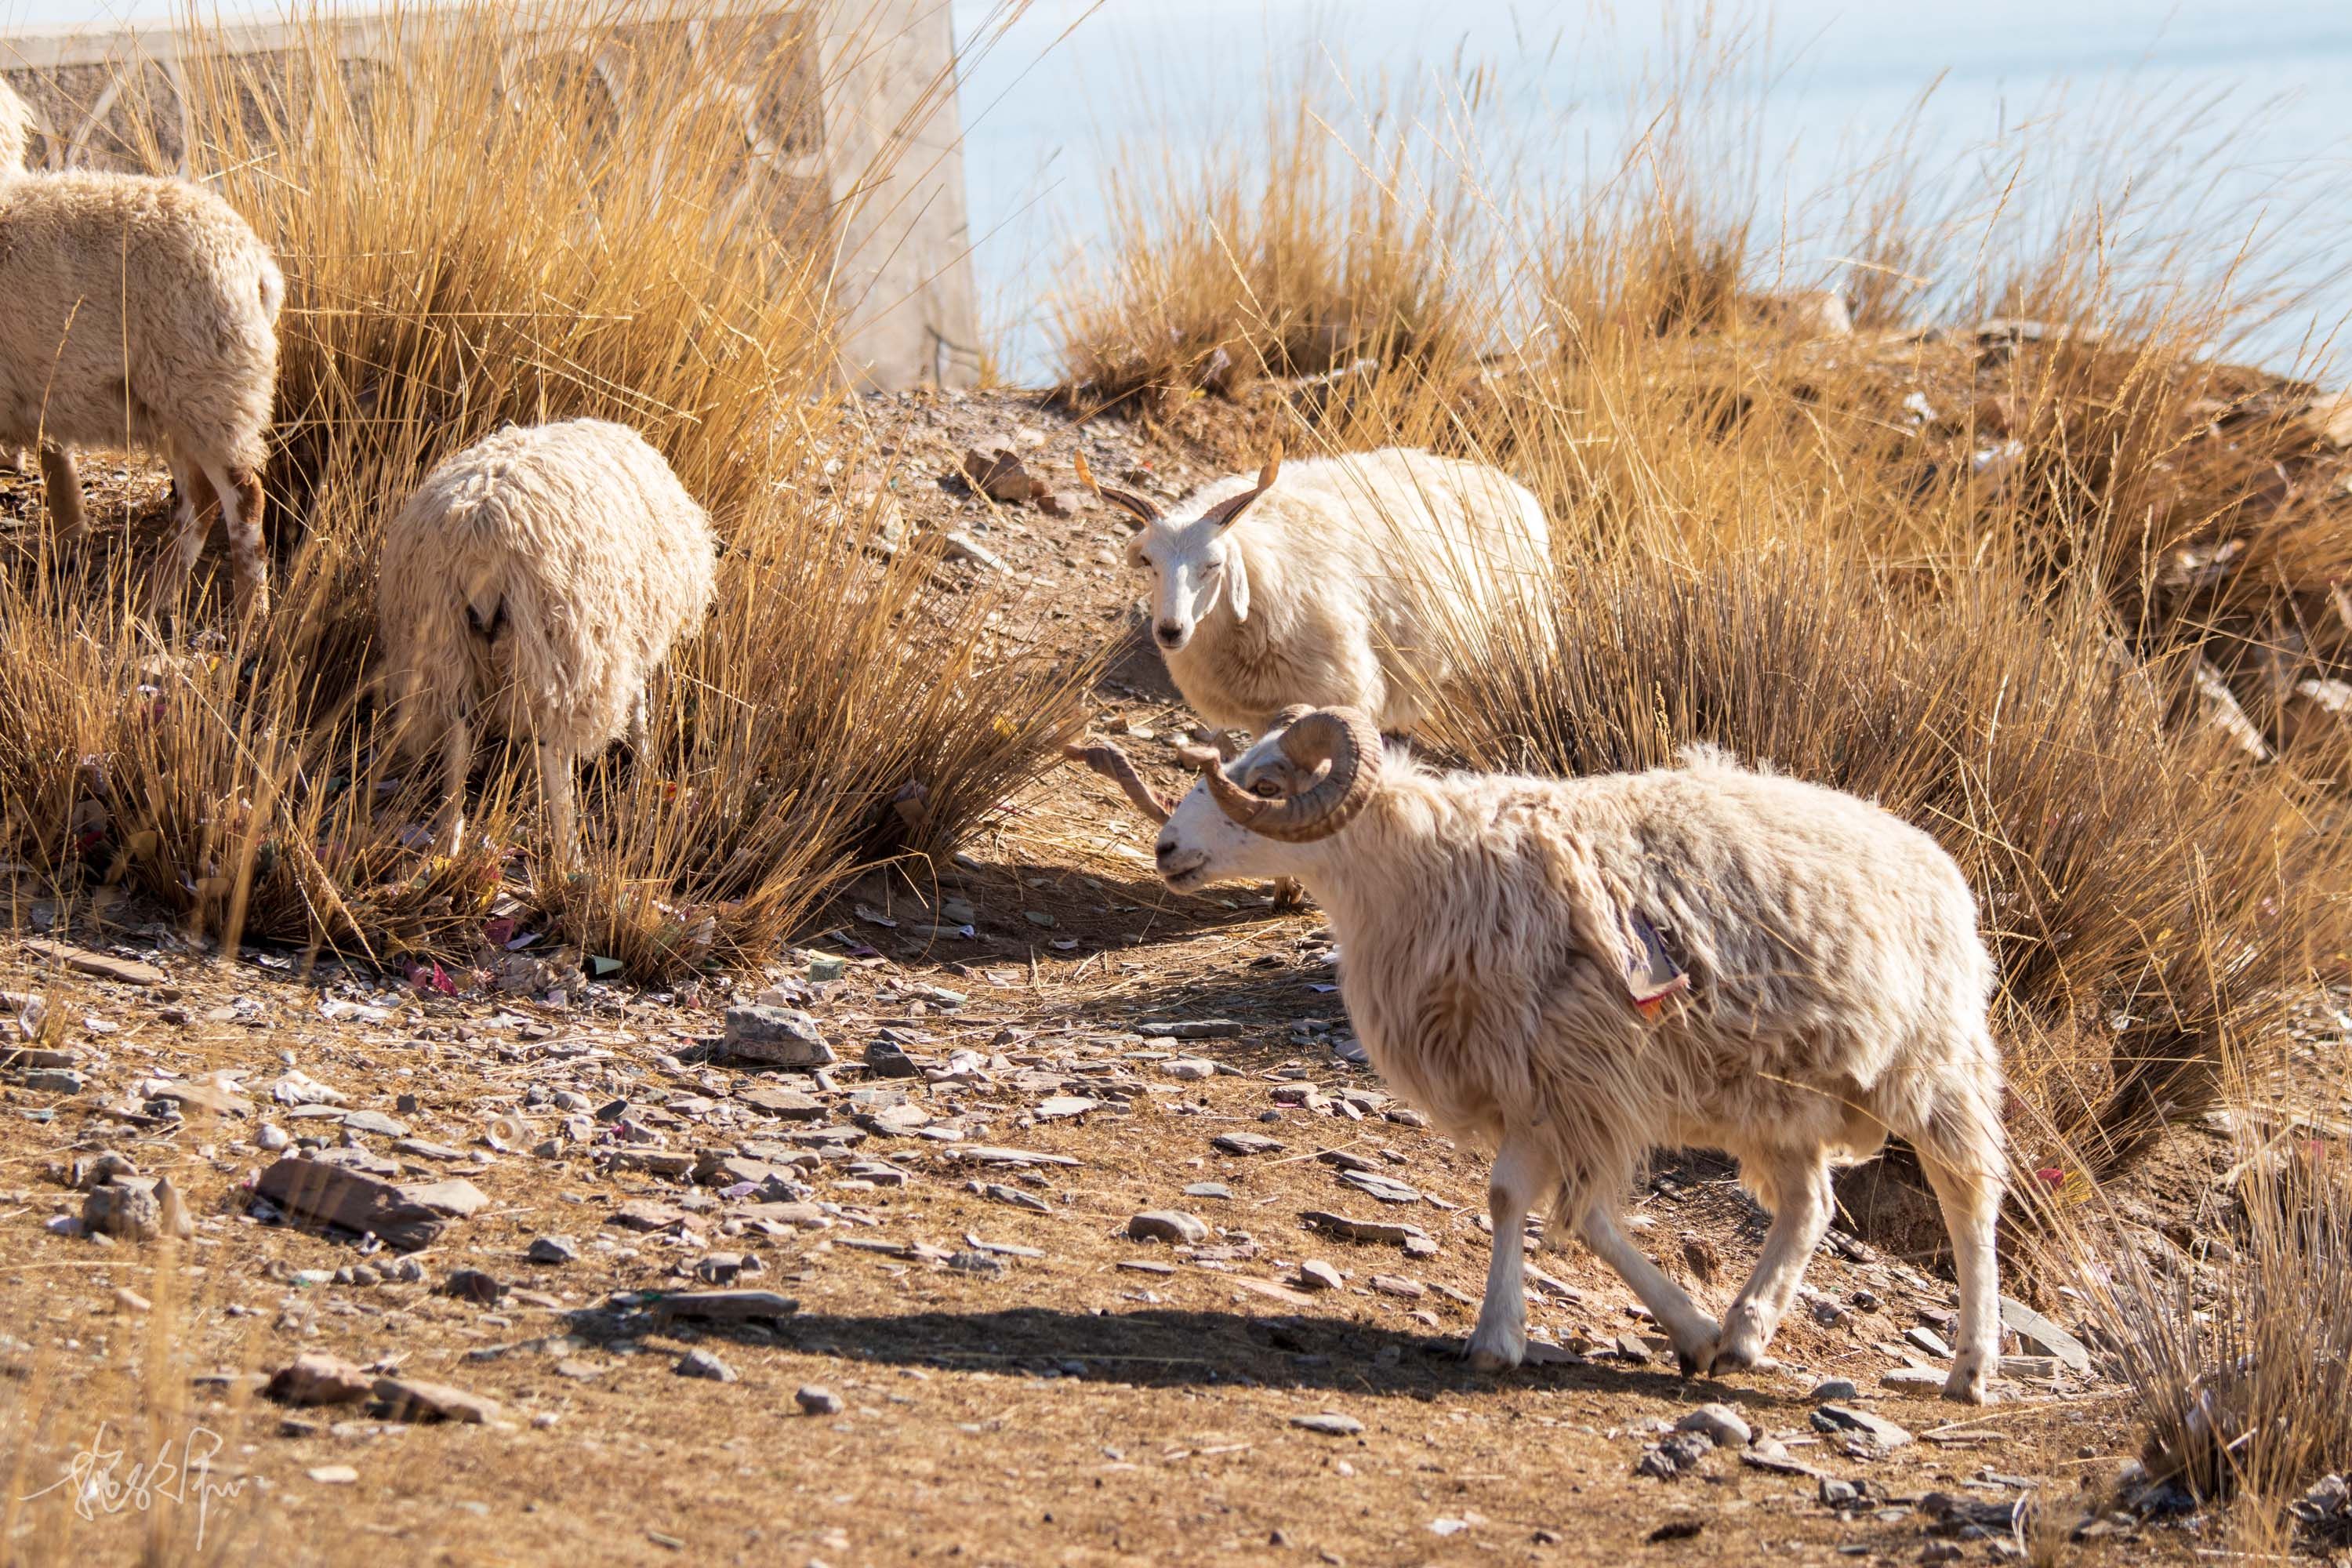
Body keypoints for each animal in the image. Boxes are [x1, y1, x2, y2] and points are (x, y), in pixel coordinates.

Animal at [0, 159, 285, 620]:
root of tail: (257, 265)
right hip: (174, 404)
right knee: (200, 499)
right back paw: (150, 603)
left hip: (208, 390)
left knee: (244, 498)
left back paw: (251, 618)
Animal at [379, 420, 715, 860]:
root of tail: (478, 541)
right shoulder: (624, 634)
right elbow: (640, 710)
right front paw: (645, 774)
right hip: (556, 645)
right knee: (554, 745)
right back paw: (569, 852)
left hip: (443, 641)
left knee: (457, 734)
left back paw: (450, 840)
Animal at [1077, 441, 1552, 738]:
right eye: (1150, 564)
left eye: (1213, 565)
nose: (1170, 631)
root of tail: (1514, 487)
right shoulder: (1262, 711)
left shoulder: (1341, 694)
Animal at [1138, 705, 2004, 1401]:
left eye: (1267, 779)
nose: (1166, 847)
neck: (1426, 870)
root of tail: (1938, 860)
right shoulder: (1537, 1086)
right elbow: (1526, 1201)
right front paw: (1516, 1336)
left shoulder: (1582, 1076)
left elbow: (1564, 1209)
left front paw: (1667, 1328)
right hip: (1770, 1093)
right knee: (1809, 1204)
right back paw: (1747, 1330)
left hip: (1932, 1065)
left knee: (1966, 1200)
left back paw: (1970, 1368)